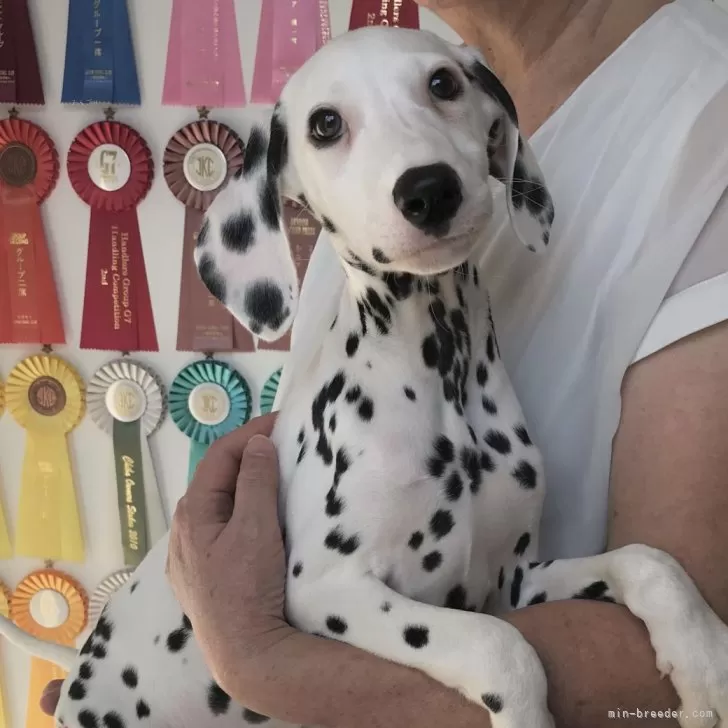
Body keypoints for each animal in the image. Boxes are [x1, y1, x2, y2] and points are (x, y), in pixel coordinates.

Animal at [1, 25, 728, 728]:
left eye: (444, 83)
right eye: (326, 124)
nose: (430, 189)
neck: (442, 370)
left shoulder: (514, 580)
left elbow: (647, 560)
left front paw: (704, 662)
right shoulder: (332, 590)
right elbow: (501, 648)